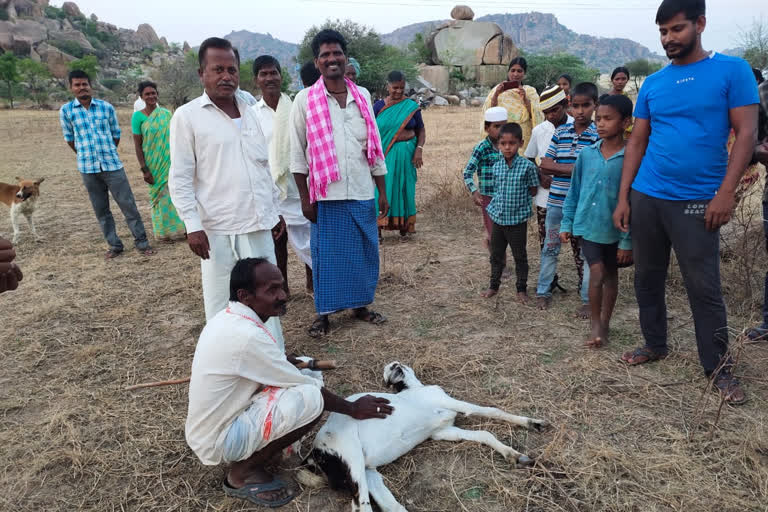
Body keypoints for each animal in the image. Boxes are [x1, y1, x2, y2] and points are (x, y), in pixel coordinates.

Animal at [304, 362, 548, 510]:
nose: (394, 366)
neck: (412, 389)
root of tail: (314, 454)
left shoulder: (442, 431)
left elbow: (484, 433)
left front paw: (514, 455)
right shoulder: (448, 402)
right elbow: (490, 411)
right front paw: (533, 422)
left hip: (367, 471)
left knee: (390, 505)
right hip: (352, 460)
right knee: (361, 506)